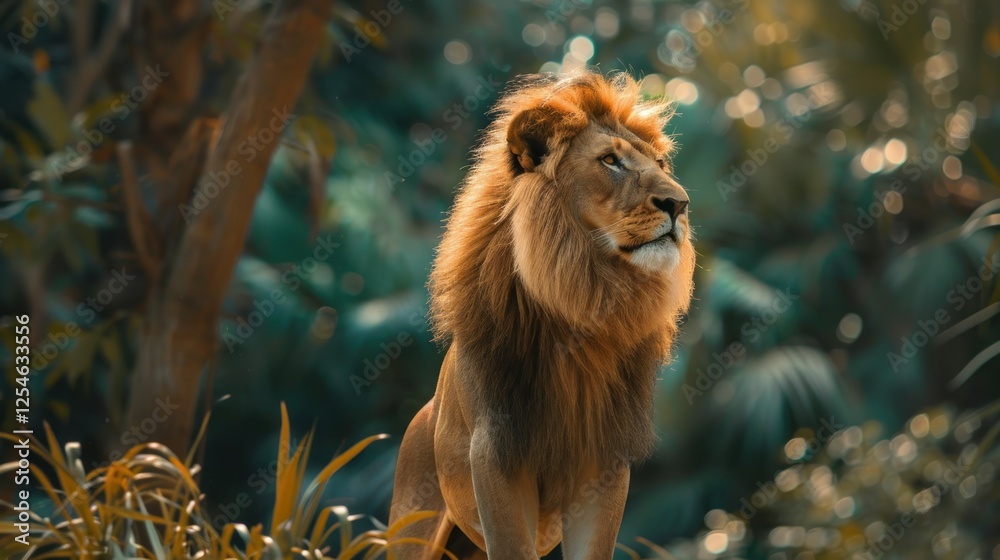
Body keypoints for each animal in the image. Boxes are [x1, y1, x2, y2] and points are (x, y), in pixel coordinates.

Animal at [388, 71, 695, 560]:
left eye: (663, 165)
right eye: (610, 161)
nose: (679, 204)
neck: (581, 304)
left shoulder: (603, 463)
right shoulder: (497, 455)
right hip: (412, 523)